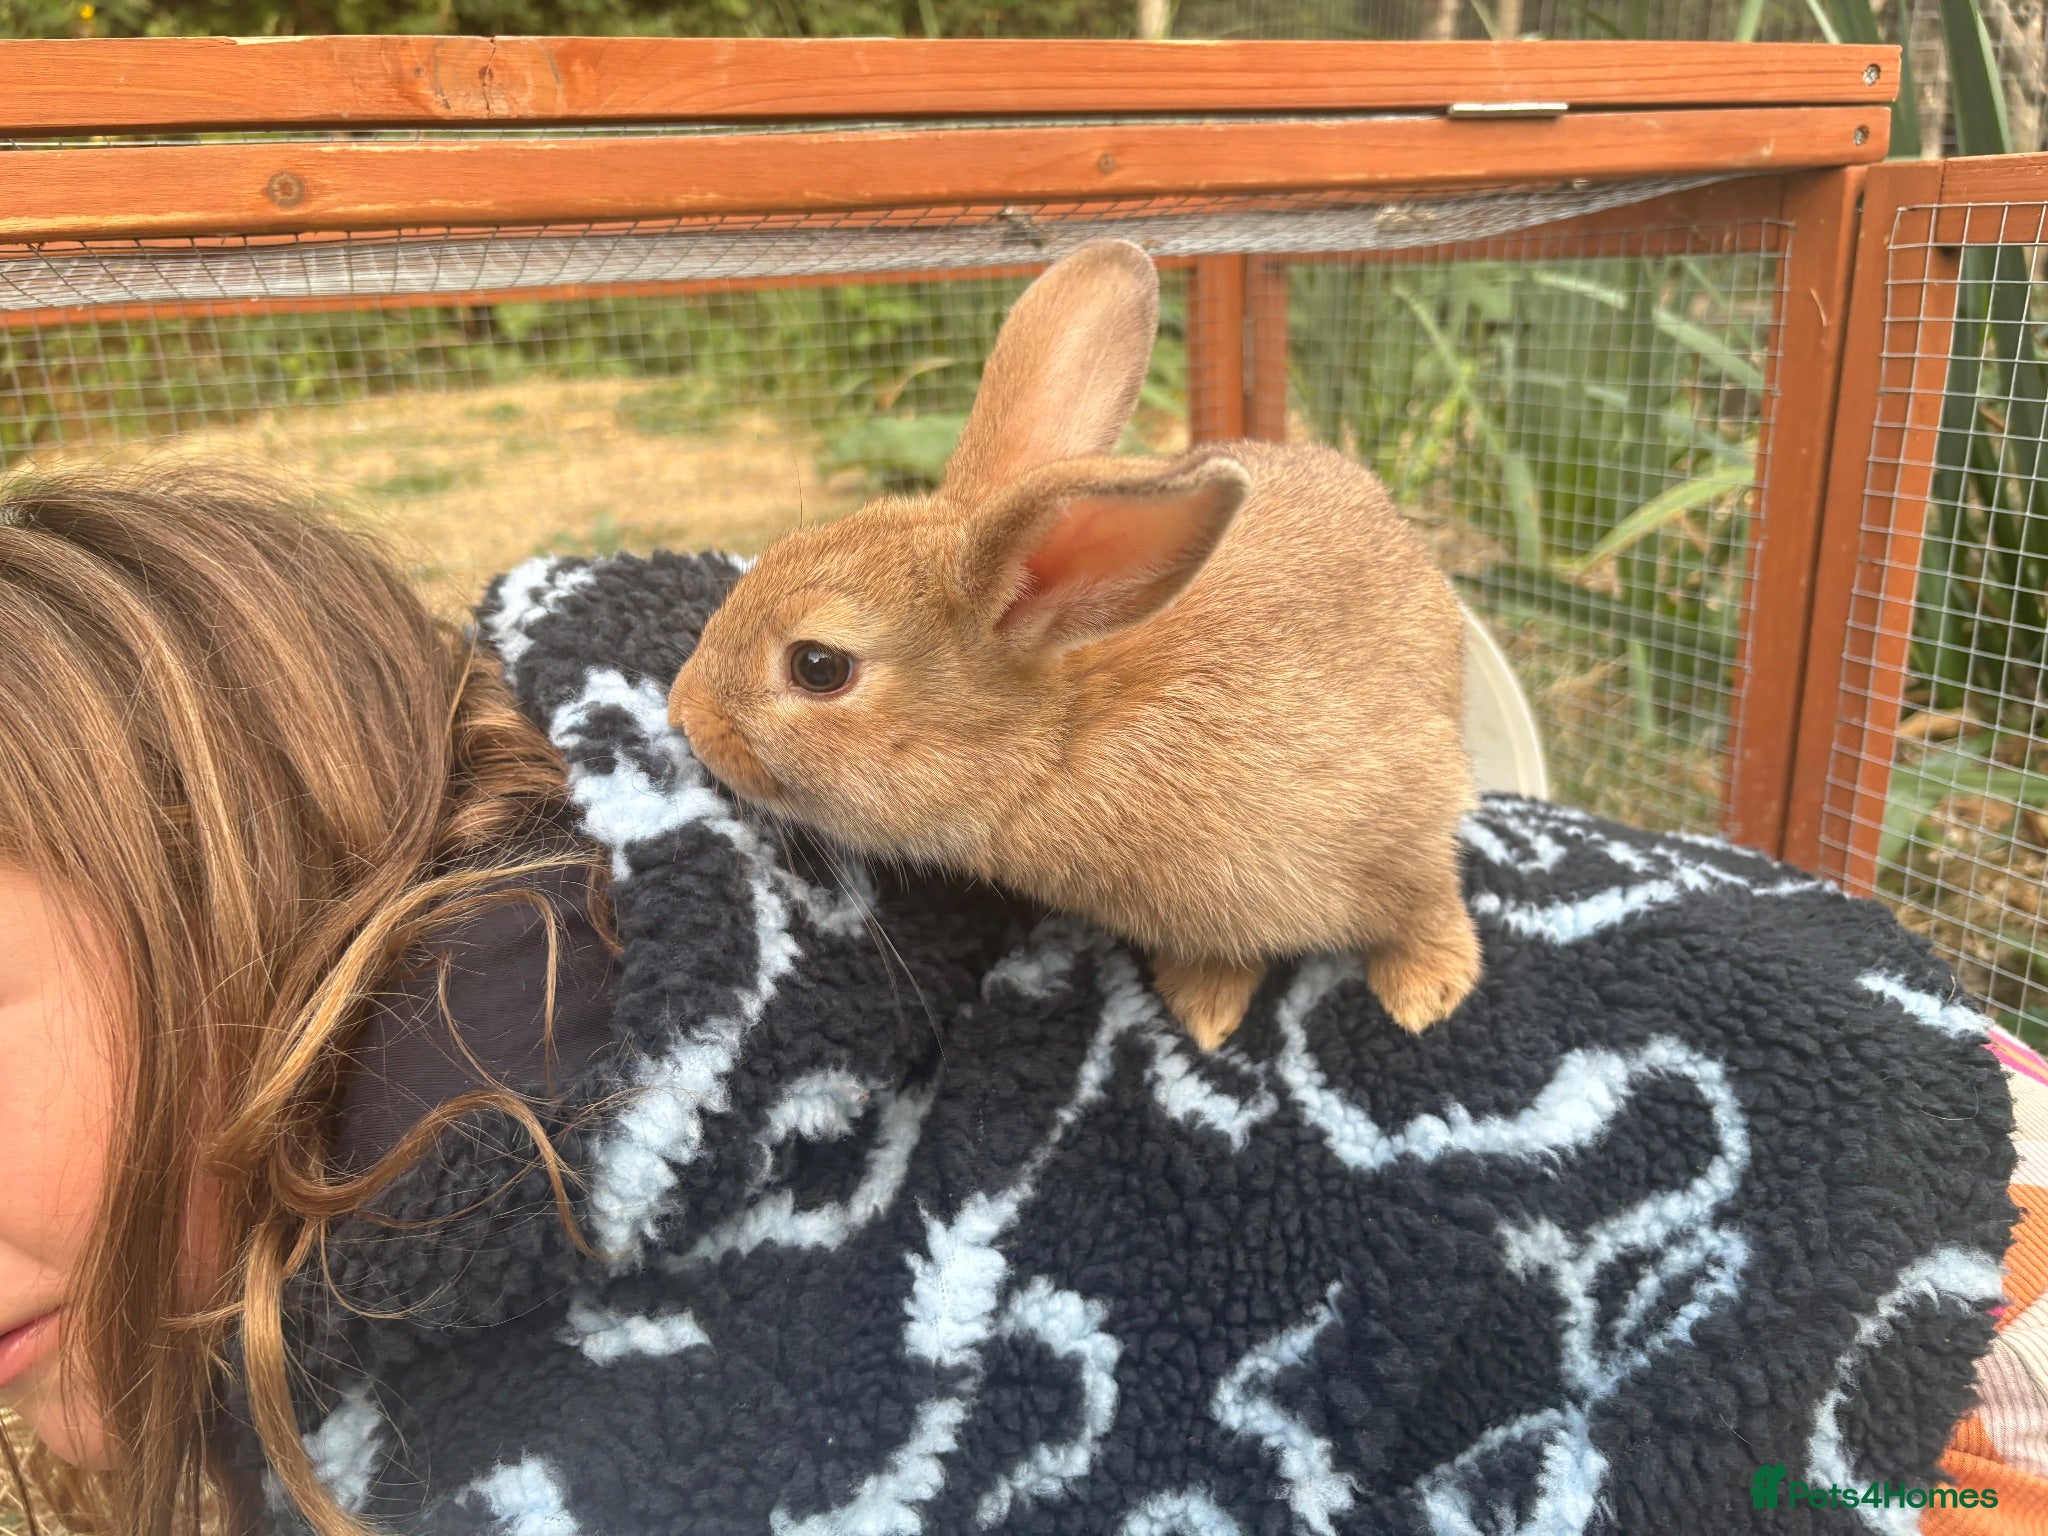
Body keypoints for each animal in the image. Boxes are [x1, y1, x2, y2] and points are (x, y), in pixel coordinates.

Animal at [669, 238, 1480, 1051]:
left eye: (818, 666)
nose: (683, 712)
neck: (1067, 734)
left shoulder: (1399, 814)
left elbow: (1426, 900)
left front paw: (1428, 991)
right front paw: (1204, 1006)